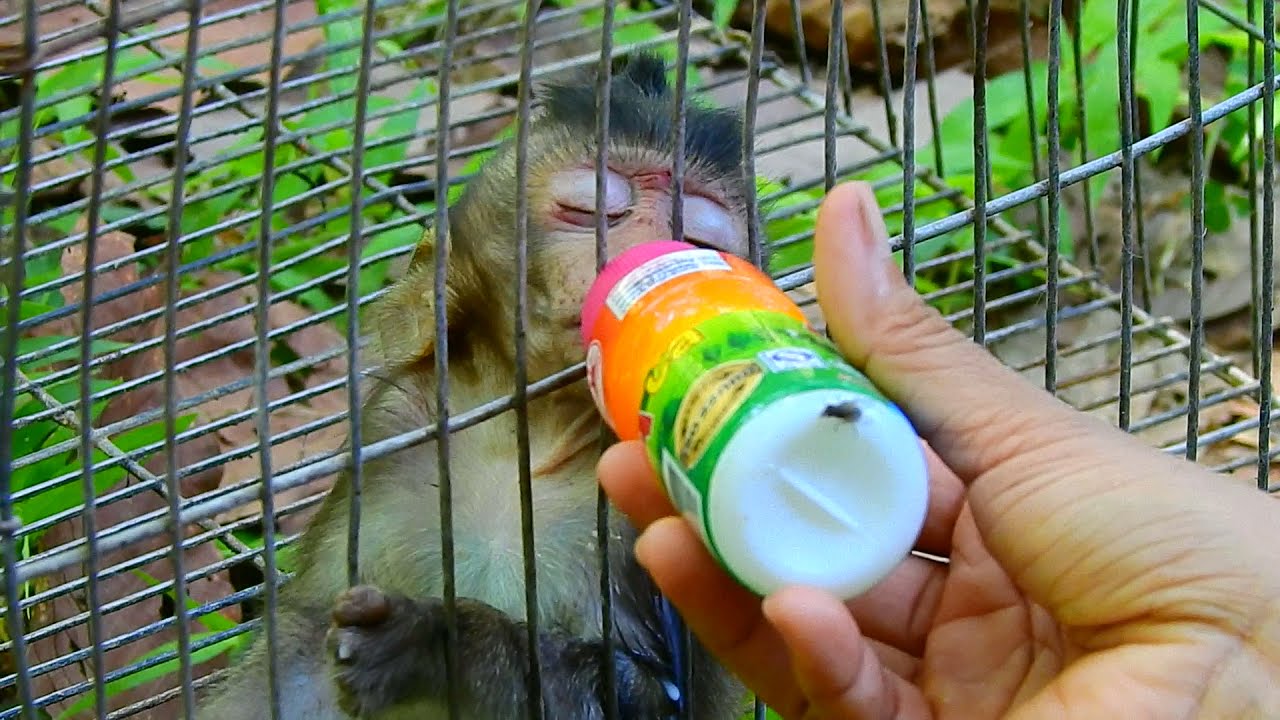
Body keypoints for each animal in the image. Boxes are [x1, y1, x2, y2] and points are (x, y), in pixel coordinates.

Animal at [195, 51, 761, 720]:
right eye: (591, 210)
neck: (530, 441)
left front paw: (440, 643)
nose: (650, 260)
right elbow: (300, 649)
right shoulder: (398, 423)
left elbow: (657, 700)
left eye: (699, 241)